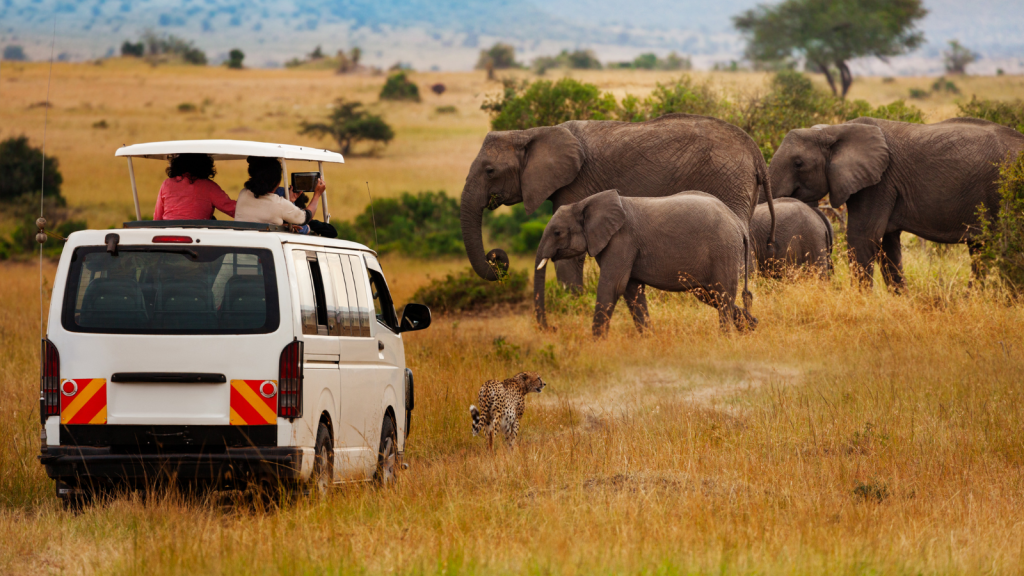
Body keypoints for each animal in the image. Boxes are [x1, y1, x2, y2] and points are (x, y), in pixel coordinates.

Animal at [534, 189, 756, 336]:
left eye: (557, 233)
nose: (552, 328)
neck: (585, 203)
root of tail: (739, 224)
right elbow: (631, 291)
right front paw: (648, 339)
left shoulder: (621, 240)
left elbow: (612, 286)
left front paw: (596, 344)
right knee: (711, 295)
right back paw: (751, 327)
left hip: (723, 250)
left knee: (722, 294)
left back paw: (727, 337)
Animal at [769, 117, 1024, 289]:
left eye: (798, 163)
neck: (835, 129)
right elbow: (887, 244)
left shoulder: (879, 183)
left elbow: (862, 237)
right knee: (980, 250)